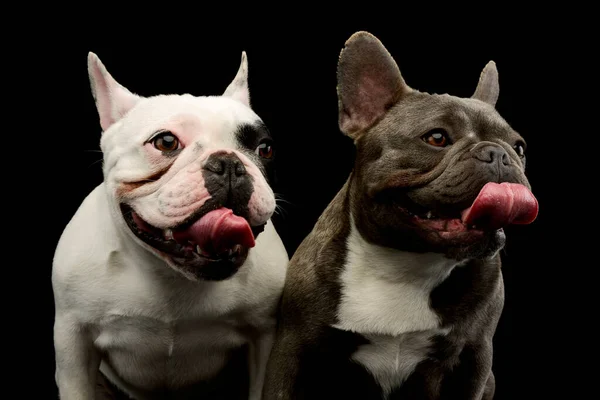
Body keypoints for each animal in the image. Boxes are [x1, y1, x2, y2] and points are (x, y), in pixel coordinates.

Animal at [50, 51, 290, 398]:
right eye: (165, 142)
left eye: (265, 149)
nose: (228, 163)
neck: (169, 273)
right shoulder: (74, 343)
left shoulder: (265, 336)